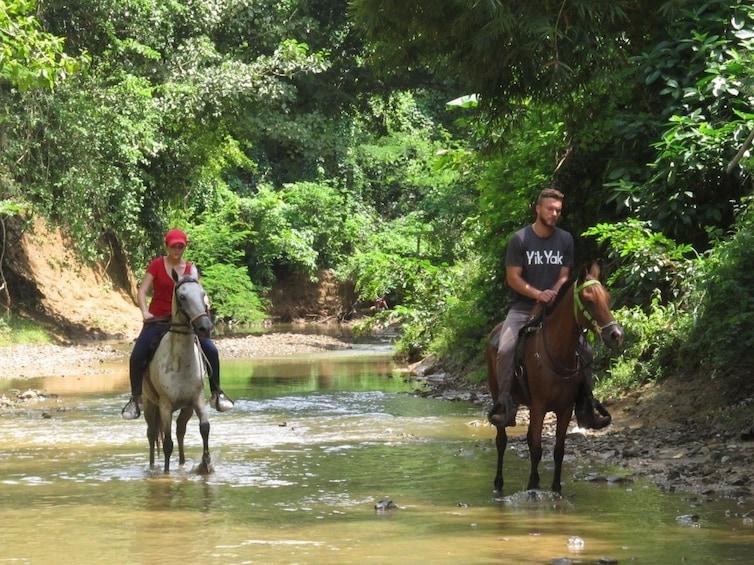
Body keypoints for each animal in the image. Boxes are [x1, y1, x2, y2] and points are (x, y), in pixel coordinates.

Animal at [142, 270, 213, 474]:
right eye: (182, 296)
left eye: (203, 294)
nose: (205, 327)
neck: (181, 362)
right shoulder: (165, 406)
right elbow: (167, 443)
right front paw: (166, 474)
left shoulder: (196, 399)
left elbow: (204, 427)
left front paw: (206, 463)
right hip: (149, 404)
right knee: (152, 434)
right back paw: (152, 467)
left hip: (185, 408)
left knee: (180, 430)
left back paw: (182, 463)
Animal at [484, 262, 620, 492]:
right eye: (589, 300)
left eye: (608, 298)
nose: (616, 335)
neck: (557, 353)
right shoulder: (539, 406)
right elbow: (537, 448)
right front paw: (532, 487)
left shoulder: (565, 408)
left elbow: (558, 450)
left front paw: (555, 488)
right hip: (498, 395)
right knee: (501, 440)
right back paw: (498, 483)